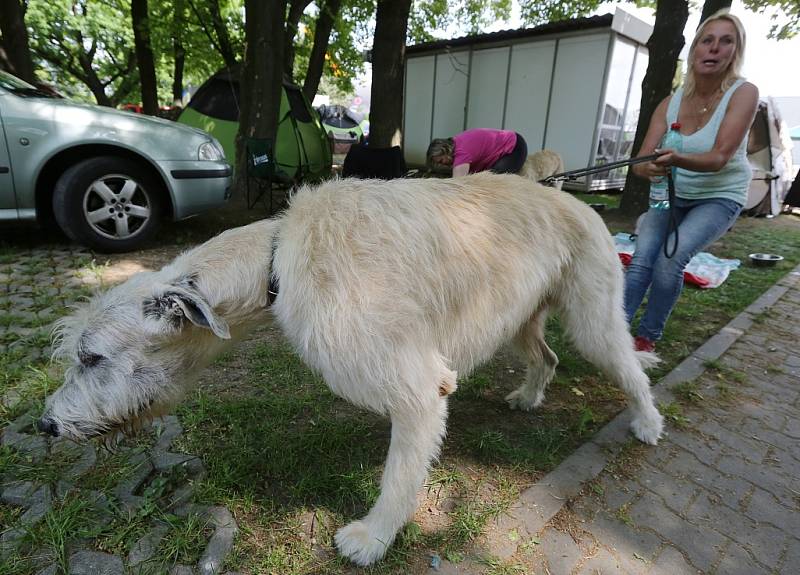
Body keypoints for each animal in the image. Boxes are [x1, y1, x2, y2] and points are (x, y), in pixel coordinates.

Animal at [39, 172, 664, 568]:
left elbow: (400, 472)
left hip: (592, 317)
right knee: (548, 357)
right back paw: (530, 396)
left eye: (91, 357)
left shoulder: (419, 387)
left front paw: (373, 538)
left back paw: (648, 422)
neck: (278, 258)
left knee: (628, 368)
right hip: (518, 317)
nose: (46, 426)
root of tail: (580, 201)